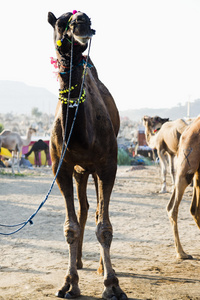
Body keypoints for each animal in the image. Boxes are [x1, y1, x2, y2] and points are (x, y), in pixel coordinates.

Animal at [47, 9, 127, 300]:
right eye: (60, 23)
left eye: (88, 19)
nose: (82, 21)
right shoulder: (61, 167)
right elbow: (70, 226)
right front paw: (69, 283)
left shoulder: (108, 165)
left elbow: (104, 227)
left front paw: (112, 285)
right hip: (81, 172)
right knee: (83, 209)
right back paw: (80, 261)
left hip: (93, 170)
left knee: (95, 213)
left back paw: (101, 268)